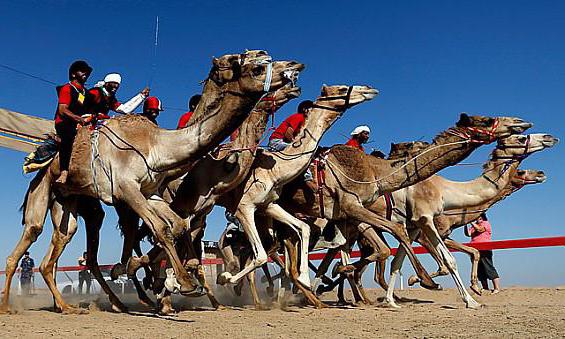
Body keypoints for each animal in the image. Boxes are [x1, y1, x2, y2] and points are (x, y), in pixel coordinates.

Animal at [1, 50, 304, 316]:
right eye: (255, 66)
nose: (296, 66)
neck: (157, 146)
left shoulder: (150, 192)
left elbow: (177, 226)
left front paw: (163, 278)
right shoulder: (127, 190)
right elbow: (161, 229)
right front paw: (182, 284)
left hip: (68, 201)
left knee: (58, 246)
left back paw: (71, 306)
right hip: (43, 188)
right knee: (32, 235)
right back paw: (10, 306)